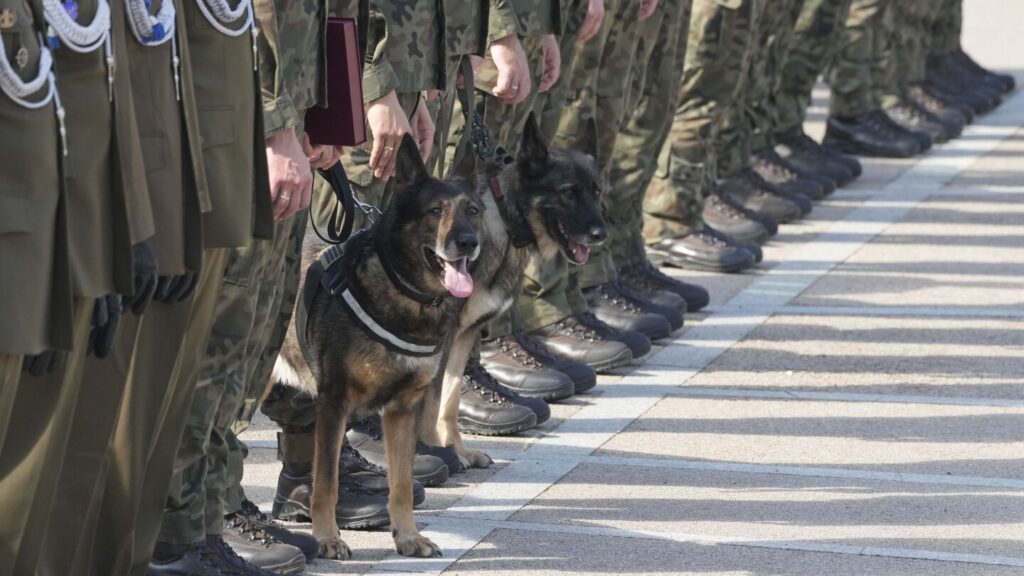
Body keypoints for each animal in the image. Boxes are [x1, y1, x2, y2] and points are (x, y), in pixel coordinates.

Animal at [274, 133, 485, 557]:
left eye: (471, 210)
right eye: (435, 211)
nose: (468, 242)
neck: (404, 289)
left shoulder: (402, 410)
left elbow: (401, 484)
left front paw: (407, 536)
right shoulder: (334, 403)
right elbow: (326, 483)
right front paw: (327, 537)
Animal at [421, 114, 606, 469]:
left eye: (596, 191)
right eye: (569, 193)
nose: (600, 234)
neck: (504, 220)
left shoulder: (464, 336)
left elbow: (450, 397)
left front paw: (456, 448)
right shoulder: (439, 339)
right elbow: (432, 397)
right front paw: (434, 450)